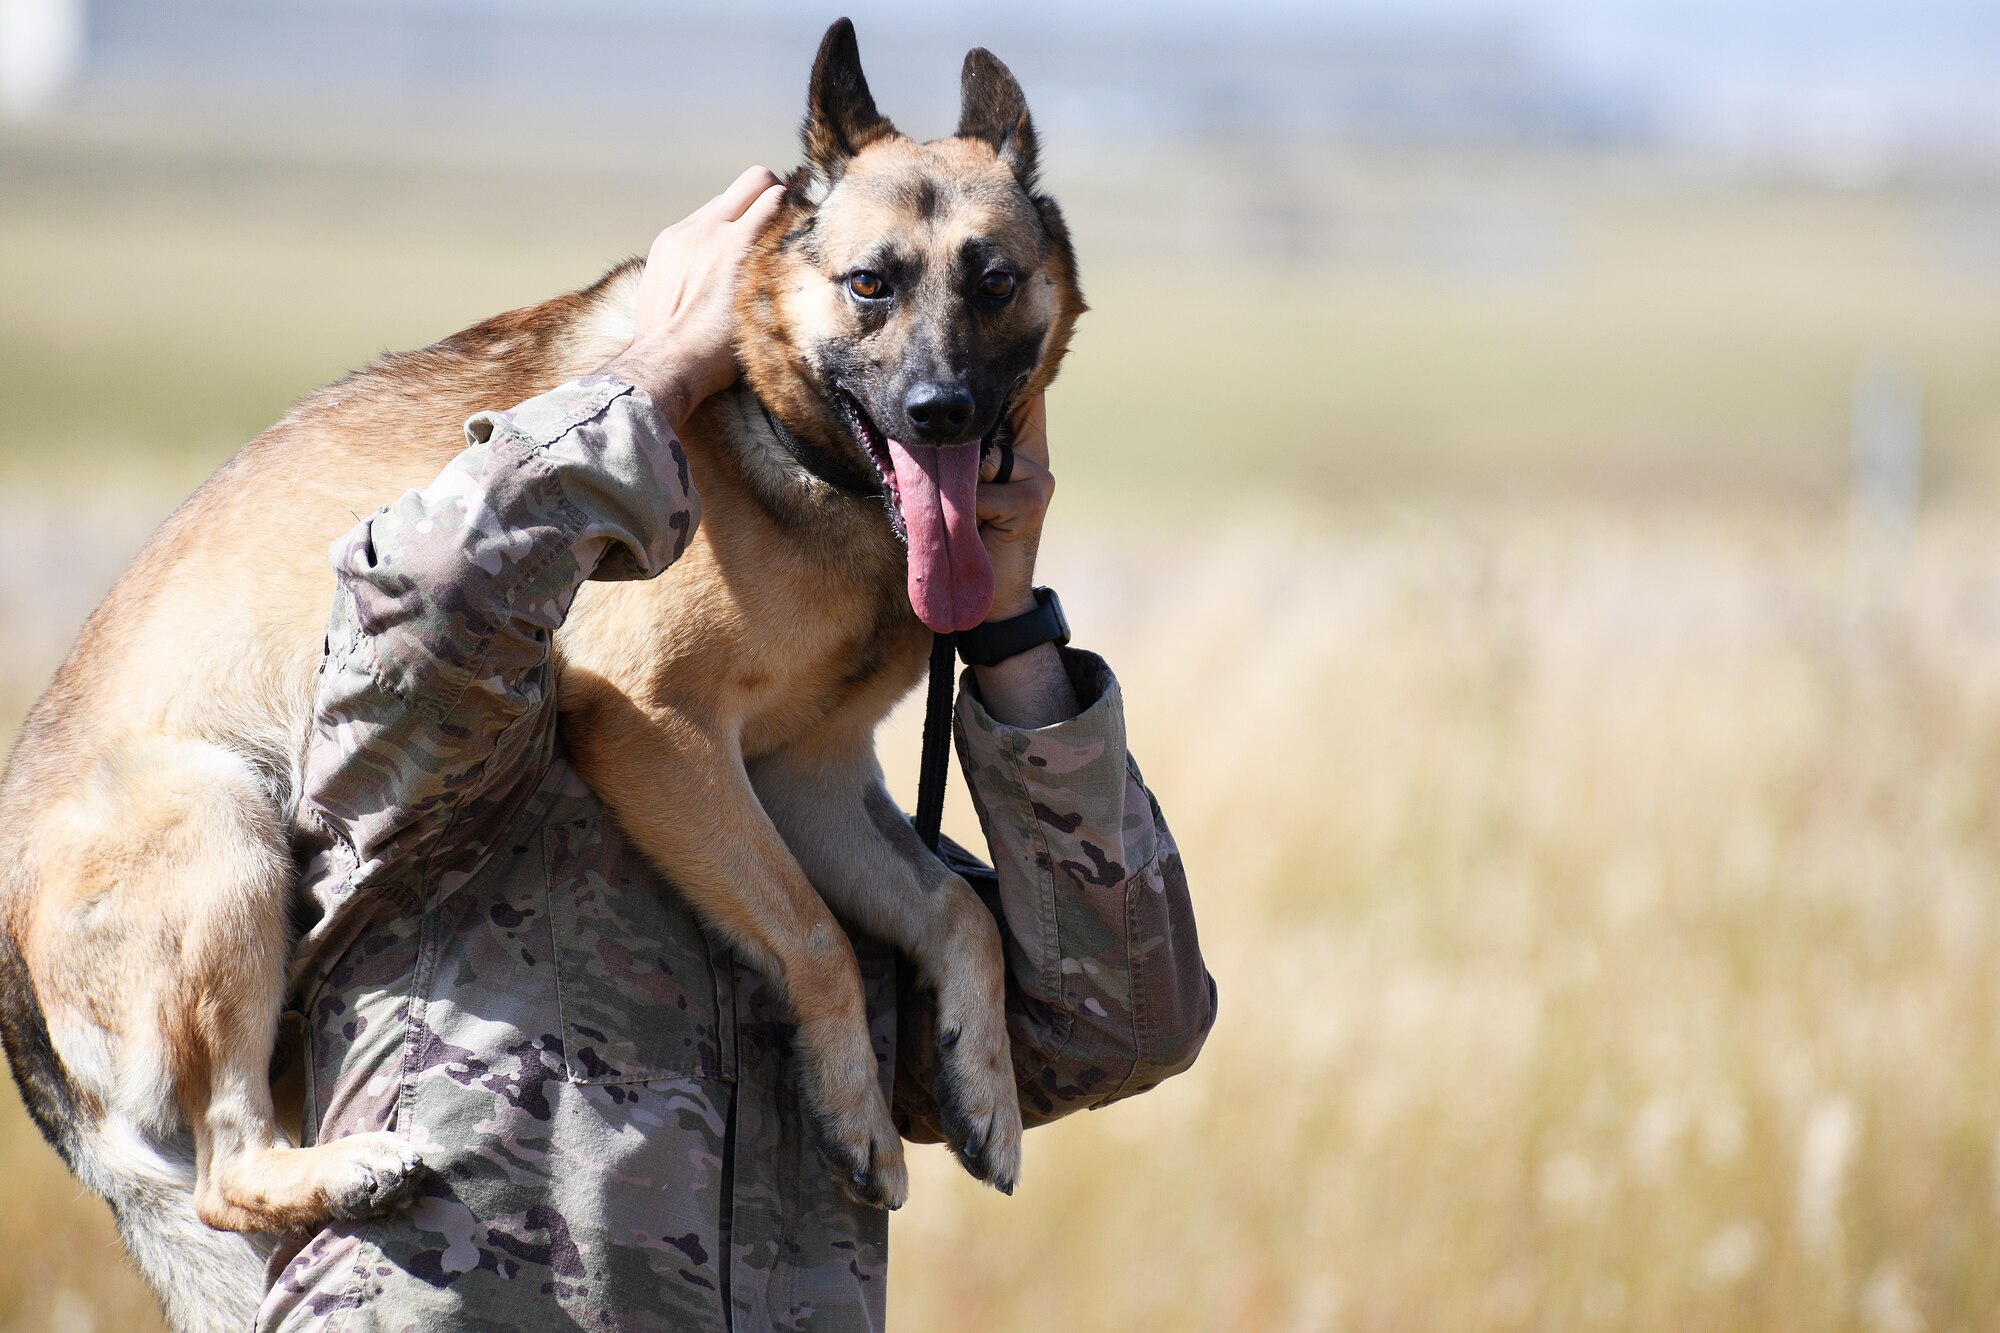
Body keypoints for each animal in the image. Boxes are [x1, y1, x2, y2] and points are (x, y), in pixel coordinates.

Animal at [0, 23, 1080, 1328]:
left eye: (993, 280)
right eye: (871, 283)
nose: (941, 411)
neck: (792, 445)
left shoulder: (806, 778)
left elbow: (953, 910)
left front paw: (982, 1086)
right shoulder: (659, 734)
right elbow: (816, 936)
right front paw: (858, 1114)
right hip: (222, 828)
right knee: (224, 1170)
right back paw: (351, 1168)